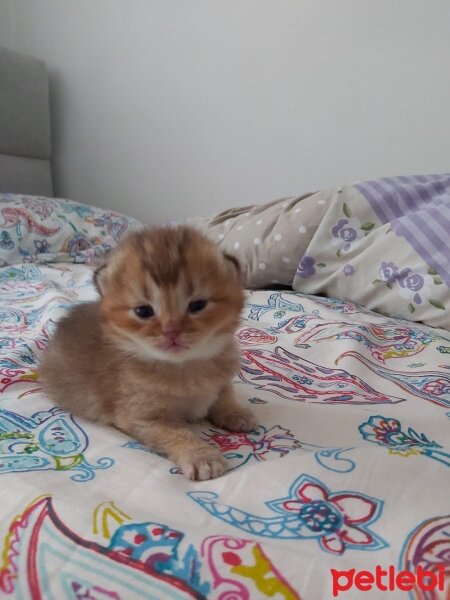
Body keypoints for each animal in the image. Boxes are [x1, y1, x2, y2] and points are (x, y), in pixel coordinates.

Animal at [39, 227, 256, 480]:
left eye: (197, 305)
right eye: (143, 311)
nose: (171, 331)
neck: (186, 367)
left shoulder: (221, 382)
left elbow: (224, 397)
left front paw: (236, 413)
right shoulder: (142, 418)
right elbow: (178, 434)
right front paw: (202, 456)